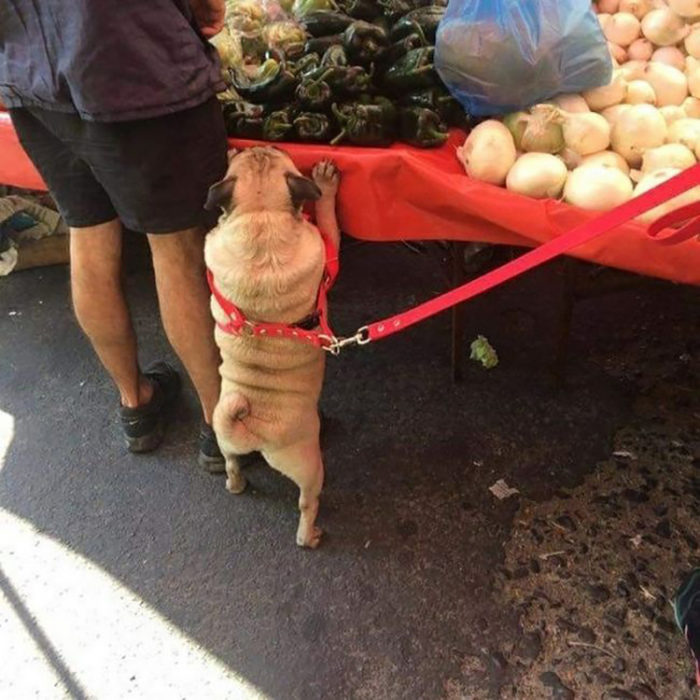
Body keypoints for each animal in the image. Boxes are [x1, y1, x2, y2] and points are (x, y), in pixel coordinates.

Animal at [204, 148, 340, 548]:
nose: (254, 146)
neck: (259, 217)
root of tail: (252, 428)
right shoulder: (327, 247)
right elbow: (327, 213)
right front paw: (326, 184)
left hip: (224, 436)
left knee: (231, 464)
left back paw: (236, 484)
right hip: (310, 467)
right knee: (307, 503)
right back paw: (310, 535)